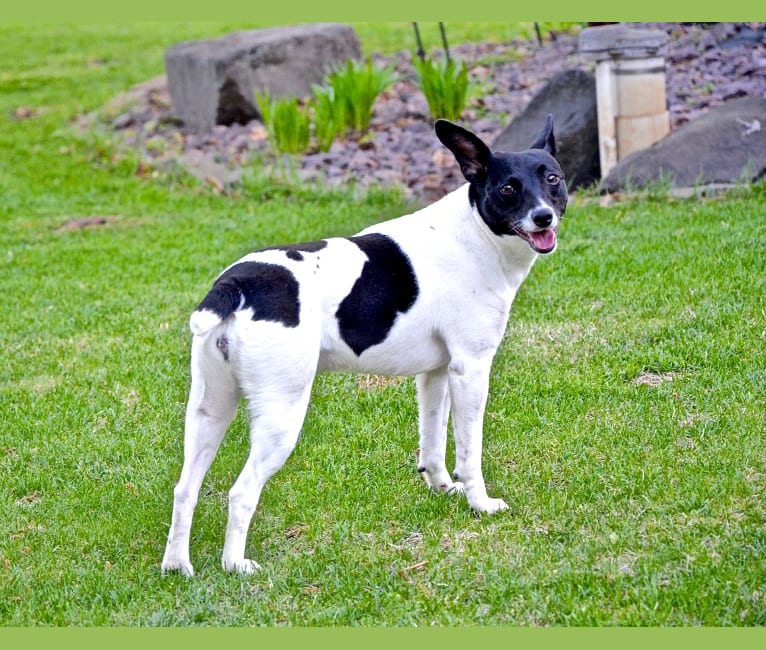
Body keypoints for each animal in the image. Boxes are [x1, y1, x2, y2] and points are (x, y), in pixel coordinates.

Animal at [164, 116, 568, 572]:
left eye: (552, 179)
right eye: (508, 189)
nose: (543, 217)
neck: (475, 233)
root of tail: (237, 283)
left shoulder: (435, 375)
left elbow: (432, 443)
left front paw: (443, 488)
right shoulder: (471, 370)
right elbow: (470, 452)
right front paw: (478, 502)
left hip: (210, 411)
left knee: (184, 489)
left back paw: (178, 565)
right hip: (281, 416)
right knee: (241, 492)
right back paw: (236, 565)